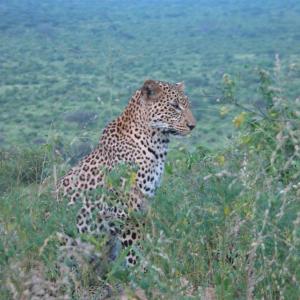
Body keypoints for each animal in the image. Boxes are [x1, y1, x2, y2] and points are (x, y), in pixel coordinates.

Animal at [57, 79, 196, 264]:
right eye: (174, 106)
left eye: (187, 105)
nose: (193, 126)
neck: (158, 144)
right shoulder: (126, 213)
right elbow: (135, 250)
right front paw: (141, 268)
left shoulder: (145, 204)